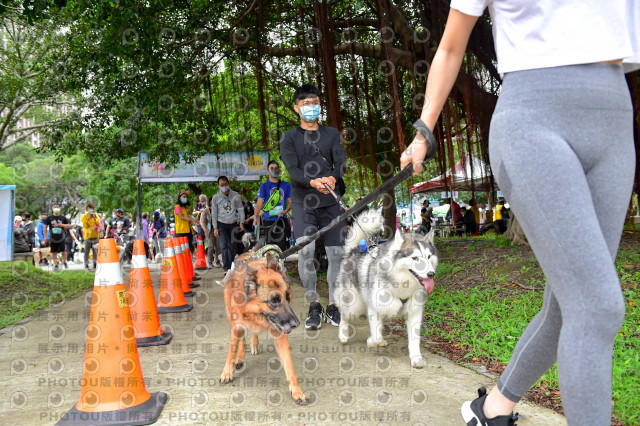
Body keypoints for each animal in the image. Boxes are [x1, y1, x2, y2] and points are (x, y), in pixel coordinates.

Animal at [218, 248, 308, 404]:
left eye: (288, 296)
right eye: (274, 300)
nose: (296, 324)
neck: (256, 313)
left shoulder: (280, 335)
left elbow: (289, 366)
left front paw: (297, 391)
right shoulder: (237, 326)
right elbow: (231, 351)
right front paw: (227, 372)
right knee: (241, 338)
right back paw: (240, 357)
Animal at [336, 211, 436, 368]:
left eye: (429, 256)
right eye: (415, 258)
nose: (431, 274)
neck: (402, 283)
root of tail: (353, 250)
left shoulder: (414, 311)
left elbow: (414, 339)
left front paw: (416, 358)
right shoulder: (374, 308)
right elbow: (375, 336)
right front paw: (372, 342)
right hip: (354, 305)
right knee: (344, 315)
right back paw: (343, 334)